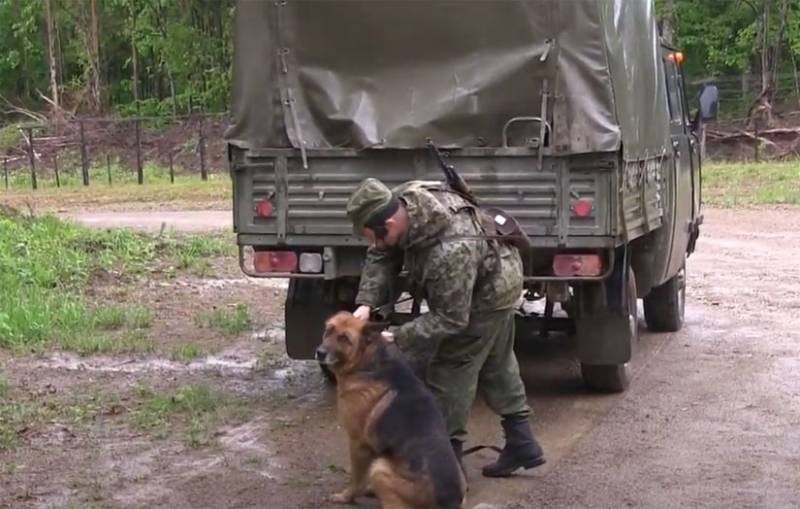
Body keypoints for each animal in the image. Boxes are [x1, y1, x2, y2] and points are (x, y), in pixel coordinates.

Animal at [316, 310, 466, 508]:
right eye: (329, 331)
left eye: (344, 339)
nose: (319, 353)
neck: (366, 362)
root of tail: (449, 500)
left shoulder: (357, 443)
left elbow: (357, 479)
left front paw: (346, 496)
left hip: (380, 469)